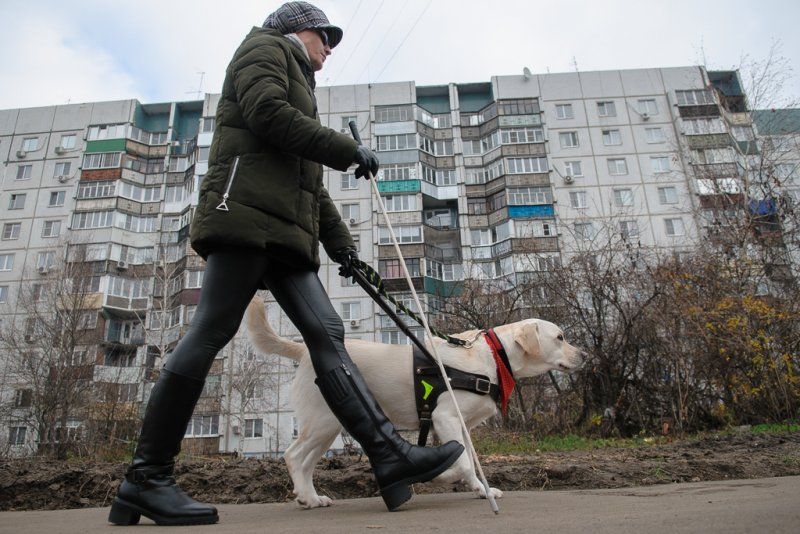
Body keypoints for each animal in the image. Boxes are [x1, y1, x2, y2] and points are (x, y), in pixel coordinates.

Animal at [241, 300, 584, 508]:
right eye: (560, 337)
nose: (585, 355)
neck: (491, 356)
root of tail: (304, 350)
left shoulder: (460, 426)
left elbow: (471, 461)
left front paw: (483, 490)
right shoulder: (445, 418)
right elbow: (461, 462)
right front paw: (444, 477)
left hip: (329, 427)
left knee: (304, 462)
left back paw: (310, 498)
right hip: (321, 423)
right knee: (292, 455)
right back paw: (307, 497)